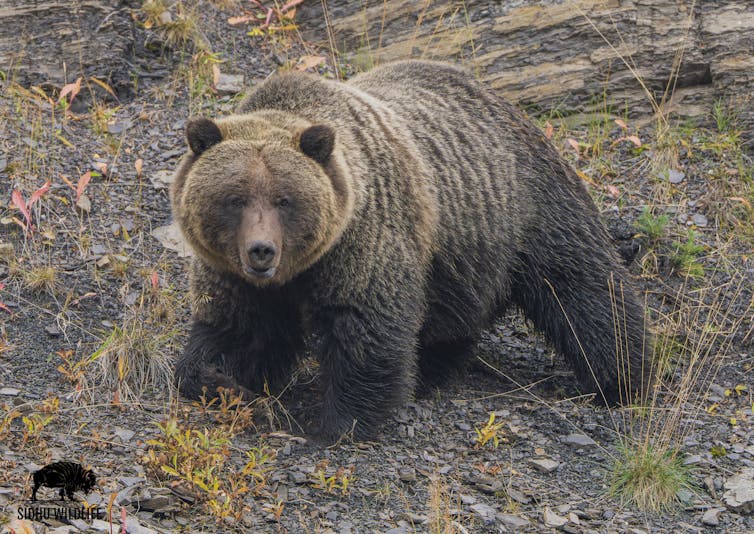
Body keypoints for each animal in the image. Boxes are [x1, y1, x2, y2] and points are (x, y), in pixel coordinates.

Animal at [170, 60, 651, 442]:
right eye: (235, 198)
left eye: (284, 199)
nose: (261, 251)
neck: (300, 271)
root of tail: (506, 103)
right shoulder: (233, 273)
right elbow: (236, 330)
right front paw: (224, 381)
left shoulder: (365, 240)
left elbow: (367, 330)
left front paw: (338, 423)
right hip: (457, 258)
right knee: (451, 320)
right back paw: (433, 369)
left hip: (524, 210)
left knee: (583, 290)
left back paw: (621, 379)